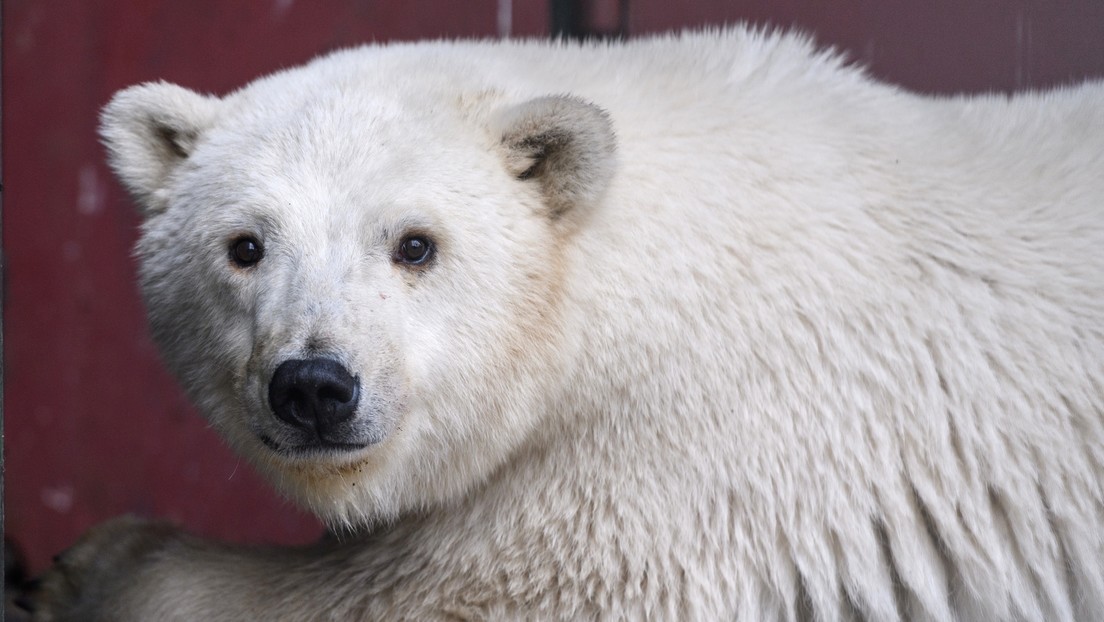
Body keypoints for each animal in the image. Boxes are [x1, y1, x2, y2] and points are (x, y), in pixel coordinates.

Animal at [29, 27, 1104, 621]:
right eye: (245, 245)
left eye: (414, 244)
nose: (315, 386)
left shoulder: (681, 450)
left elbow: (461, 594)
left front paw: (92, 569)